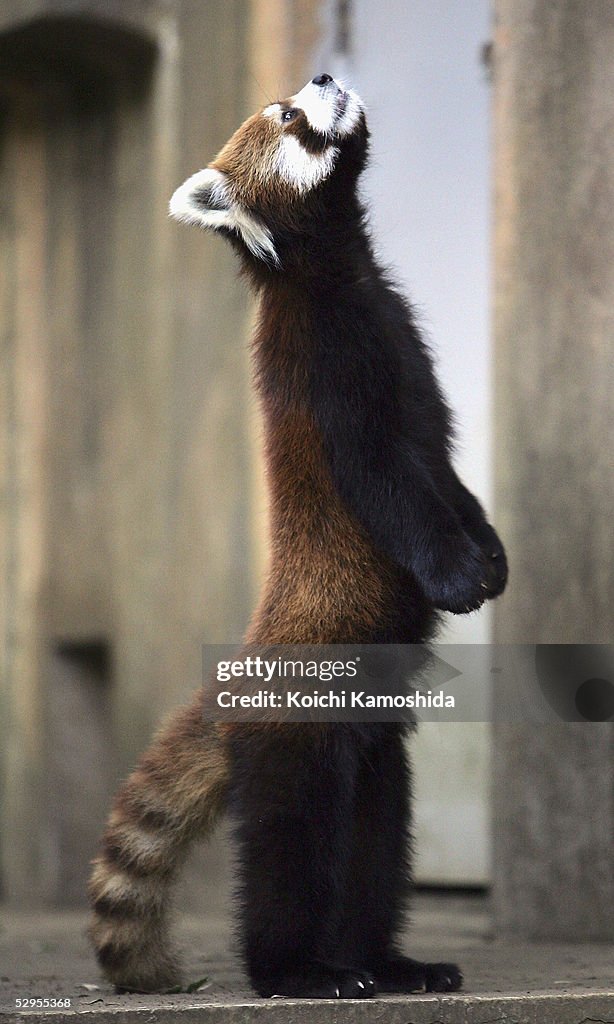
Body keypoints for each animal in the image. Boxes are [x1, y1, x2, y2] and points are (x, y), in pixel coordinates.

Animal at [89, 74, 507, 1000]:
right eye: (285, 115)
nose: (320, 78)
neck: (342, 273)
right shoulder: (330, 373)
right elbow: (395, 487)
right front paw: (457, 575)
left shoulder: (406, 352)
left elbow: (450, 481)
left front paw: (492, 555)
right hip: (299, 733)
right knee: (292, 848)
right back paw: (299, 971)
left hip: (378, 750)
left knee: (375, 848)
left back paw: (386, 963)